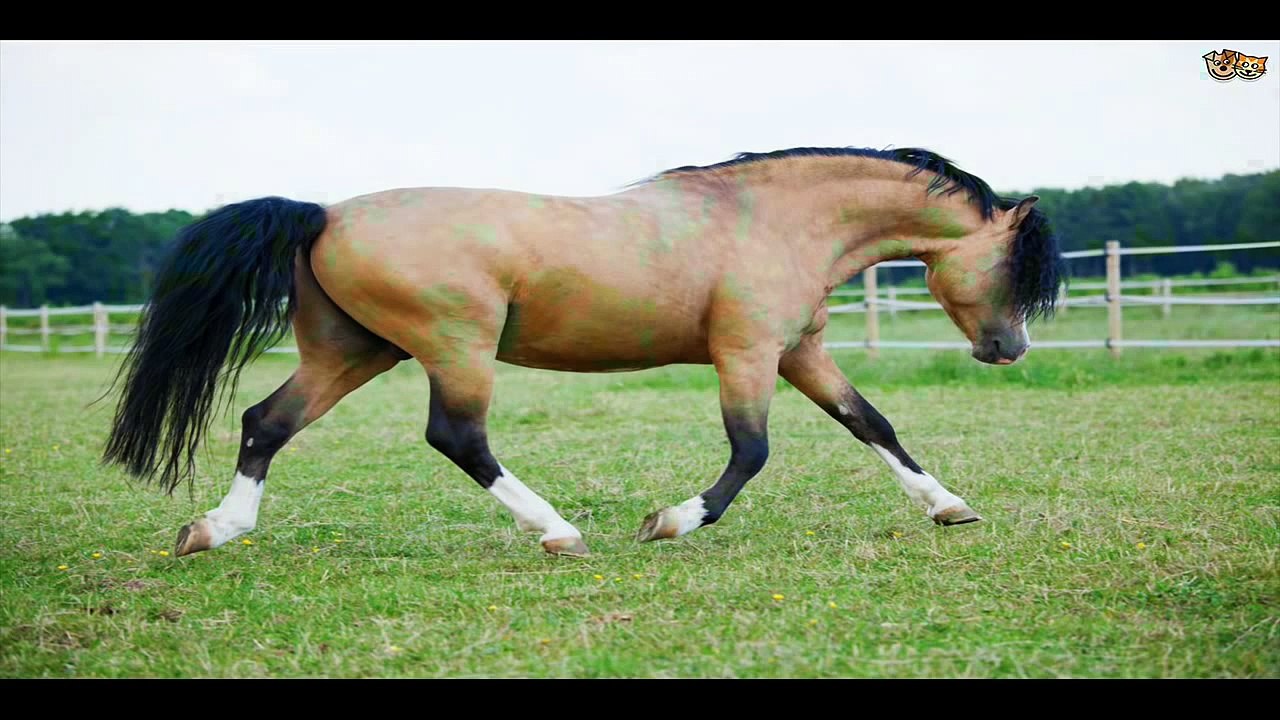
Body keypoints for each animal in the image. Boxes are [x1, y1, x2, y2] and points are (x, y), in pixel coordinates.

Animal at [100, 145, 1066, 559]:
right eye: (1016, 269)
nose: (1008, 349)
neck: (773, 219)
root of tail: (322, 213)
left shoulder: (800, 355)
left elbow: (873, 424)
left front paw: (950, 507)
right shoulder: (747, 353)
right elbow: (751, 452)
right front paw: (671, 519)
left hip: (354, 351)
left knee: (266, 421)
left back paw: (215, 530)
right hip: (453, 347)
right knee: (458, 438)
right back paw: (558, 530)